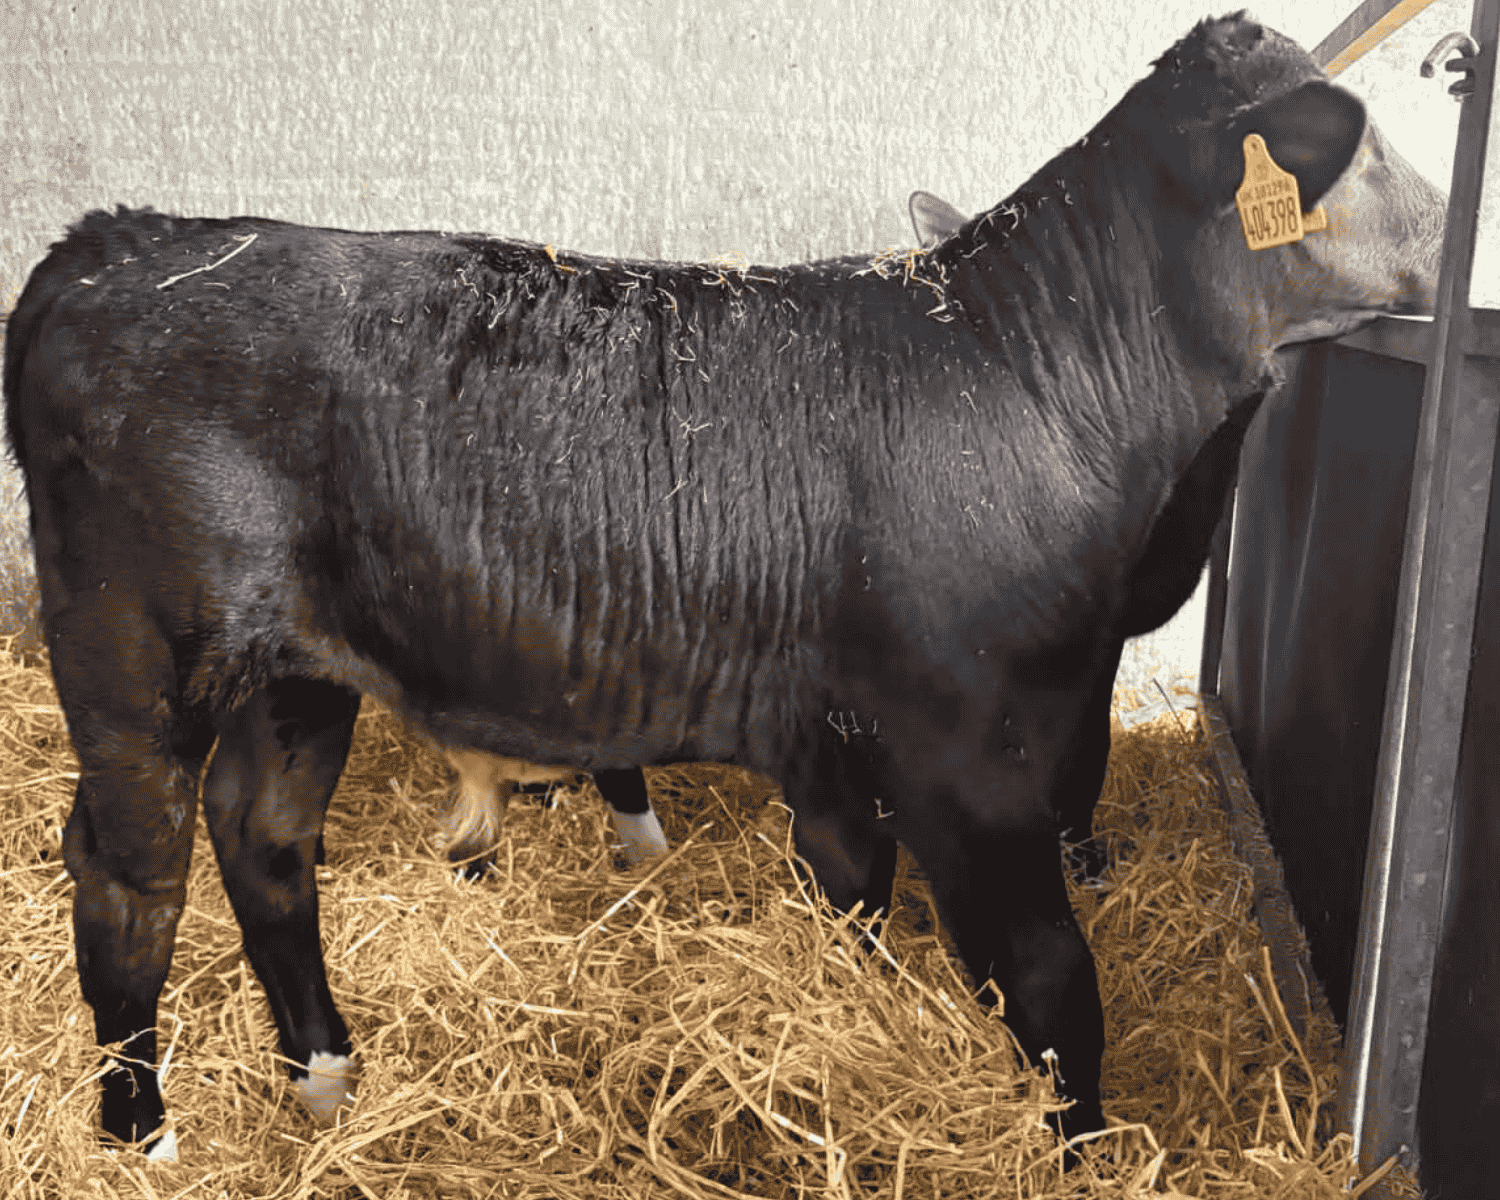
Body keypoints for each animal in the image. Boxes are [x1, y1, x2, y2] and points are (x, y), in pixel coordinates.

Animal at [3, 13, 1443, 1163]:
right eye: (1366, 152)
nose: (1446, 252)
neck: (1032, 373)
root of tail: (114, 243)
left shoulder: (843, 746)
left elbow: (853, 900)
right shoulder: (972, 750)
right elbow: (1048, 979)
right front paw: (1085, 1147)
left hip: (298, 669)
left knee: (265, 838)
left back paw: (324, 1074)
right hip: (141, 656)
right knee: (129, 873)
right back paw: (141, 1130)